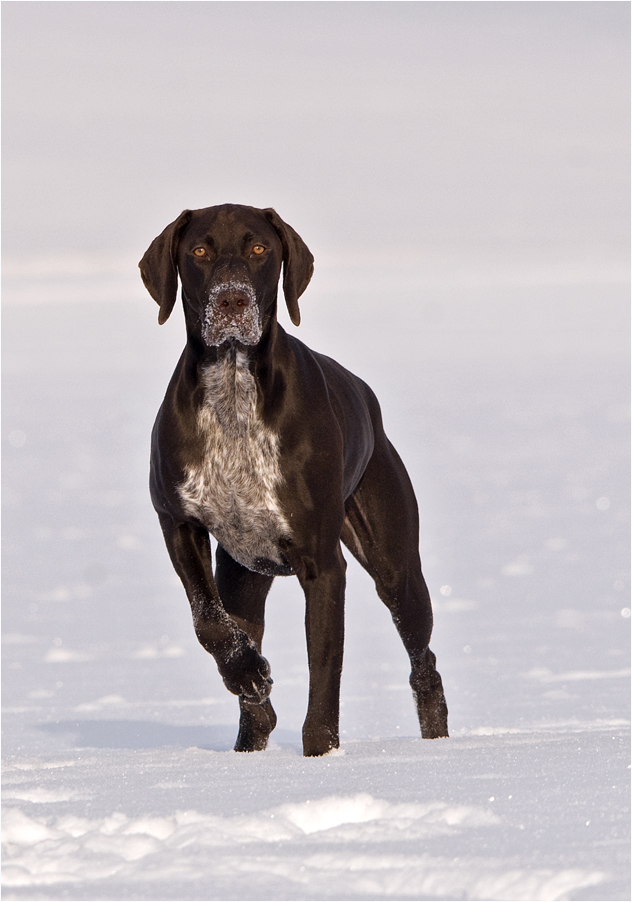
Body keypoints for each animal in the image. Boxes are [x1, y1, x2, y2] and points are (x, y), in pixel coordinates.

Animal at [141, 205, 446, 756]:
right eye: (199, 250)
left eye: (260, 248)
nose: (233, 299)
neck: (234, 389)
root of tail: (368, 399)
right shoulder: (177, 522)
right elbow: (209, 622)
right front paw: (247, 675)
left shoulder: (323, 566)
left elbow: (324, 672)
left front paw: (321, 751)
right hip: (243, 575)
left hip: (396, 569)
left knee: (424, 664)